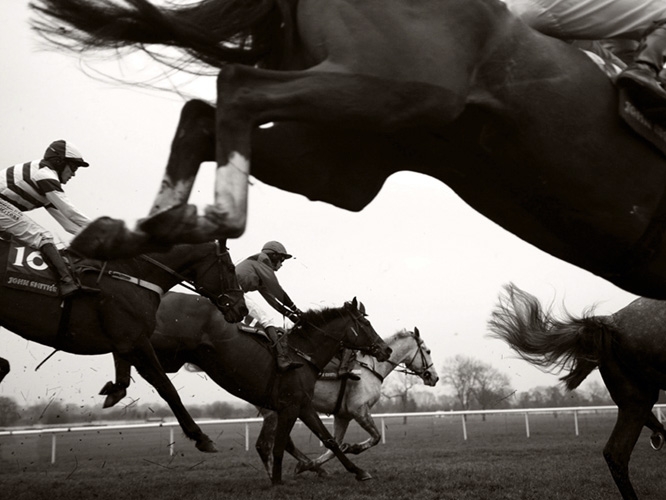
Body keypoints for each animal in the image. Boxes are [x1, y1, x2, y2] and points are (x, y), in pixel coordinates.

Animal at [0, 234, 246, 454]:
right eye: (230, 268)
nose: (242, 308)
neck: (132, 273)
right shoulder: (135, 339)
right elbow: (167, 387)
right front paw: (201, 437)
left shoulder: (126, 341)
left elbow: (125, 376)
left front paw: (113, 390)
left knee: (4, 364)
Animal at [32, 0, 666, 298]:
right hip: (403, 90)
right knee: (236, 86)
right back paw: (211, 218)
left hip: (343, 162)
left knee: (201, 116)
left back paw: (132, 232)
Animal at [148, 290, 392, 484]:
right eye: (366, 324)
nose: (386, 349)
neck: (302, 354)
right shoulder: (290, 406)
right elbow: (279, 445)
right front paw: (277, 481)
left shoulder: (303, 405)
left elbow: (329, 440)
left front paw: (358, 471)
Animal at [253, 328, 436, 476]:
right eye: (428, 351)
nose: (434, 377)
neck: (370, 368)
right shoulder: (359, 410)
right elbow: (375, 437)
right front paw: (353, 448)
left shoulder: (343, 416)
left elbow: (335, 445)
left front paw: (309, 465)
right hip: (275, 411)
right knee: (265, 445)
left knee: (284, 443)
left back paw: (314, 468)